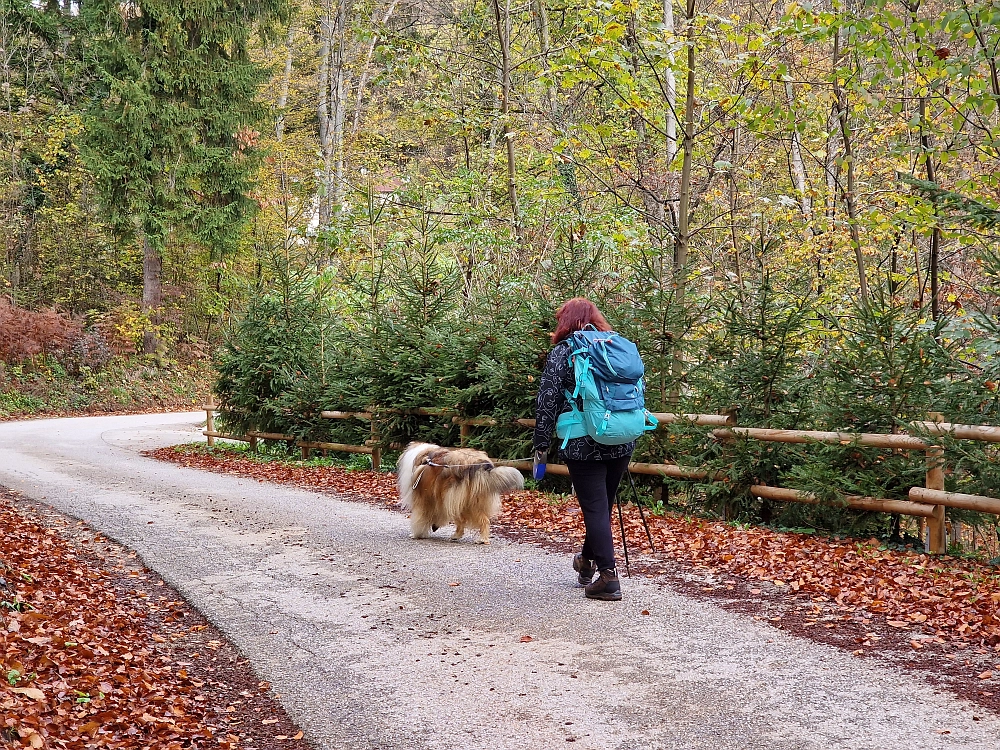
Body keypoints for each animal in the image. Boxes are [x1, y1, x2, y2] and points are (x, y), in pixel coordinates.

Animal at [396, 440, 528, 548]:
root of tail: (479, 465)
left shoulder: (423, 499)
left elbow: (420, 518)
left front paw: (417, 534)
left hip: (453, 498)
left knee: (467, 520)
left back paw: (477, 539)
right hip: (467, 500)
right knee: (480, 520)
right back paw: (470, 537)